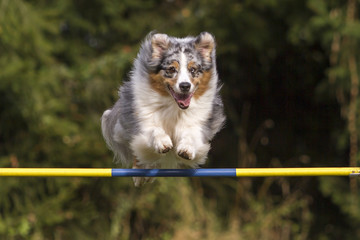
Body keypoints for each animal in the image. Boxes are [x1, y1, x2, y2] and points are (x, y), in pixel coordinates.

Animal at [101, 31, 225, 186]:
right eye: (171, 69)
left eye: (193, 69)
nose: (185, 86)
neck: (174, 106)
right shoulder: (142, 117)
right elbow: (154, 129)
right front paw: (163, 142)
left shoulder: (199, 122)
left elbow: (191, 134)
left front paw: (186, 149)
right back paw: (140, 173)